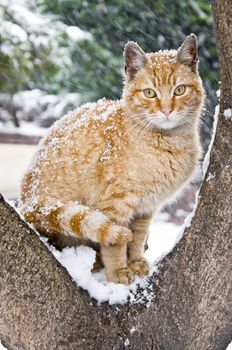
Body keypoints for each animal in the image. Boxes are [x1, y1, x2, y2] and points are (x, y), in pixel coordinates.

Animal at [20, 33, 205, 284]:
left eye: (180, 90)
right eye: (149, 93)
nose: (167, 110)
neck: (167, 143)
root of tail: (26, 200)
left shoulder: (146, 209)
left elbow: (137, 238)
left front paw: (135, 262)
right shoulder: (117, 203)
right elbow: (115, 242)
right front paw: (118, 272)